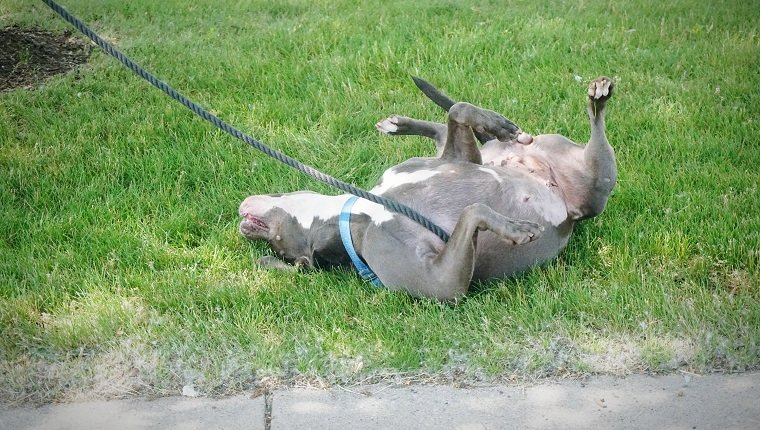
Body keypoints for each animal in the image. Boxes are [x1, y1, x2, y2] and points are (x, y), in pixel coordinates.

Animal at [239, 75, 616, 300]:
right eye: (279, 250)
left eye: (273, 241)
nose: (243, 226)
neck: (357, 211)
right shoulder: (440, 282)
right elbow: (473, 211)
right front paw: (516, 229)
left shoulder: (458, 159)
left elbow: (459, 111)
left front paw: (495, 123)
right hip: (596, 186)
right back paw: (597, 100)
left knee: (443, 128)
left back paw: (400, 124)